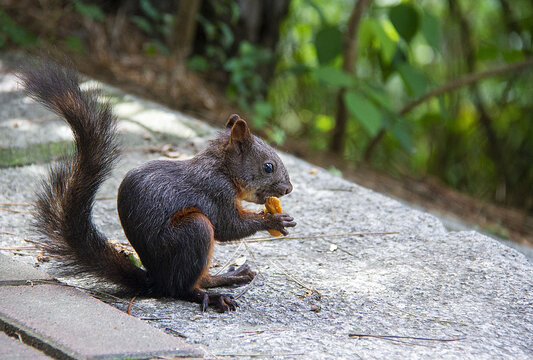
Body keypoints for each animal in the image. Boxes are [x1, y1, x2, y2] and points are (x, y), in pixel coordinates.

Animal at [19, 62, 296, 312]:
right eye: (268, 167)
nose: (288, 189)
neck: (222, 169)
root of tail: (156, 280)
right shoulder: (215, 191)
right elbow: (229, 226)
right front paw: (274, 220)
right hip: (194, 231)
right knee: (181, 288)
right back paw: (212, 296)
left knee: (201, 278)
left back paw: (231, 276)